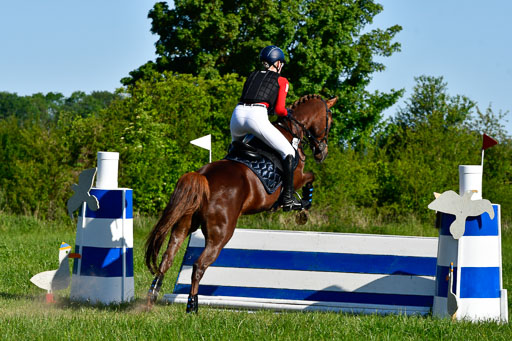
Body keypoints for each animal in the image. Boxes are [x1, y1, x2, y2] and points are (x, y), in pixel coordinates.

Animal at [144, 94, 338, 312]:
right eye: (330, 121)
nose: (322, 152)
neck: (292, 132)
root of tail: (203, 177)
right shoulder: (297, 176)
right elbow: (310, 178)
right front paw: (302, 205)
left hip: (183, 225)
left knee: (167, 259)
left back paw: (151, 297)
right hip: (221, 234)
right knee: (199, 265)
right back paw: (192, 306)